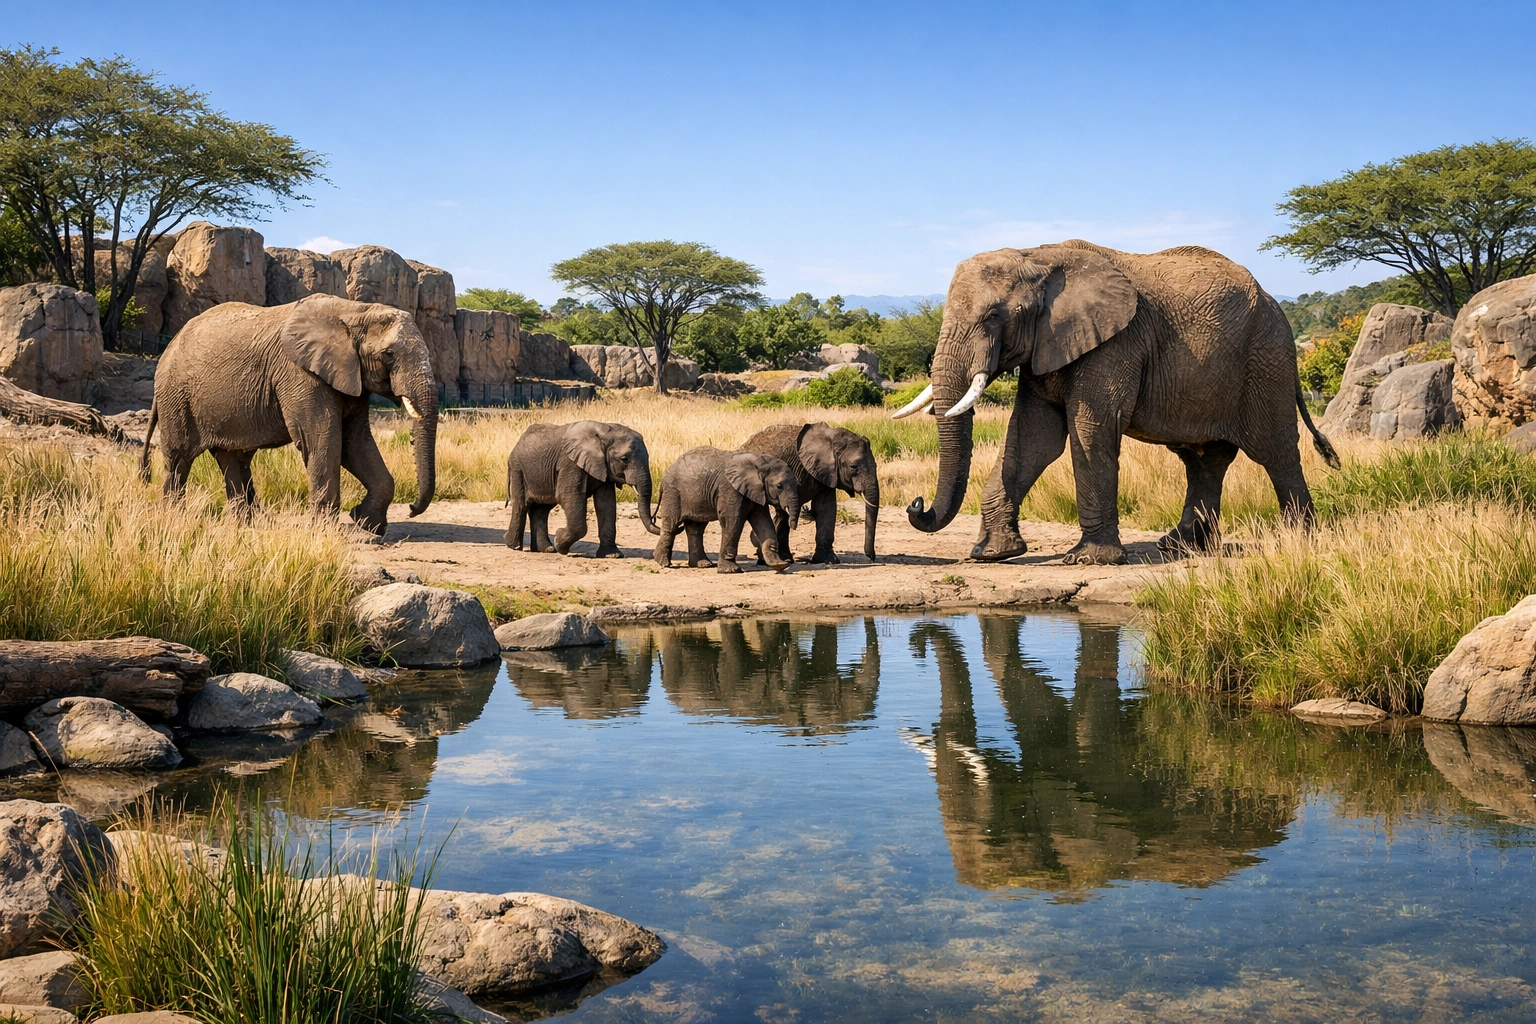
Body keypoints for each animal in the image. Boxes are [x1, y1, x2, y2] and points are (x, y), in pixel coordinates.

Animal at [141, 294, 438, 534]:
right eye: (389, 354)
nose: (412, 508)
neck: (356, 311)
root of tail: (167, 349)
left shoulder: (351, 379)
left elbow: (355, 443)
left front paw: (367, 524)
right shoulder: (300, 375)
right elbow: (321, 441)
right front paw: (326, 533)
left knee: (233, 458)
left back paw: (251, 525)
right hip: (177, 397)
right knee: (179, 458)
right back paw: (175, 520)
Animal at [504, 420, 658, 556]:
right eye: (624, 459)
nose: (656, 520)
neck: (605, 432)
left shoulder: (604, 468)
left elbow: (606, 503)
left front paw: (612, 555)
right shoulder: (570, 463)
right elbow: (568, 495)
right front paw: (560, 541)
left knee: (542, 509)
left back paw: (546, 549)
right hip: (518, 469)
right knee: (522, 505)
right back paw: (513, 546)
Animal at [653, 447, 800, 573]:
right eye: (779, 486)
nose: (793, 526)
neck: (761, 462)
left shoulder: (757, 492)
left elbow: (763, 522)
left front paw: (780, 565)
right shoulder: (730, 489)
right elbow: (732, 521)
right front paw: (730, 570)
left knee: (696, 528)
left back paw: (703, 564)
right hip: (673, 493)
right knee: (672, 525)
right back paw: (663, 563)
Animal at [738, 422, 881, 563]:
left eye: (876, 465)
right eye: (853, 467)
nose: (871, 557)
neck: (832, 439)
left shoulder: (826, 473)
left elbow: (826, 507)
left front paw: (827, 560)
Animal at [897, 240, 1340, 565]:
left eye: (992, 317)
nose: (916, 504)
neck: (1037, 256)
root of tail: (1276, 304)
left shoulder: (1115, 344)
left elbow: (1090, 431)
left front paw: (1089, 560)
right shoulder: (1047, 347)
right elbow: (1032, 439)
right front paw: (991, 554)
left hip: (1267, 361)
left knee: (1275, 452)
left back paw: (1300, 541)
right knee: (1204, 460)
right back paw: (1178, 548)